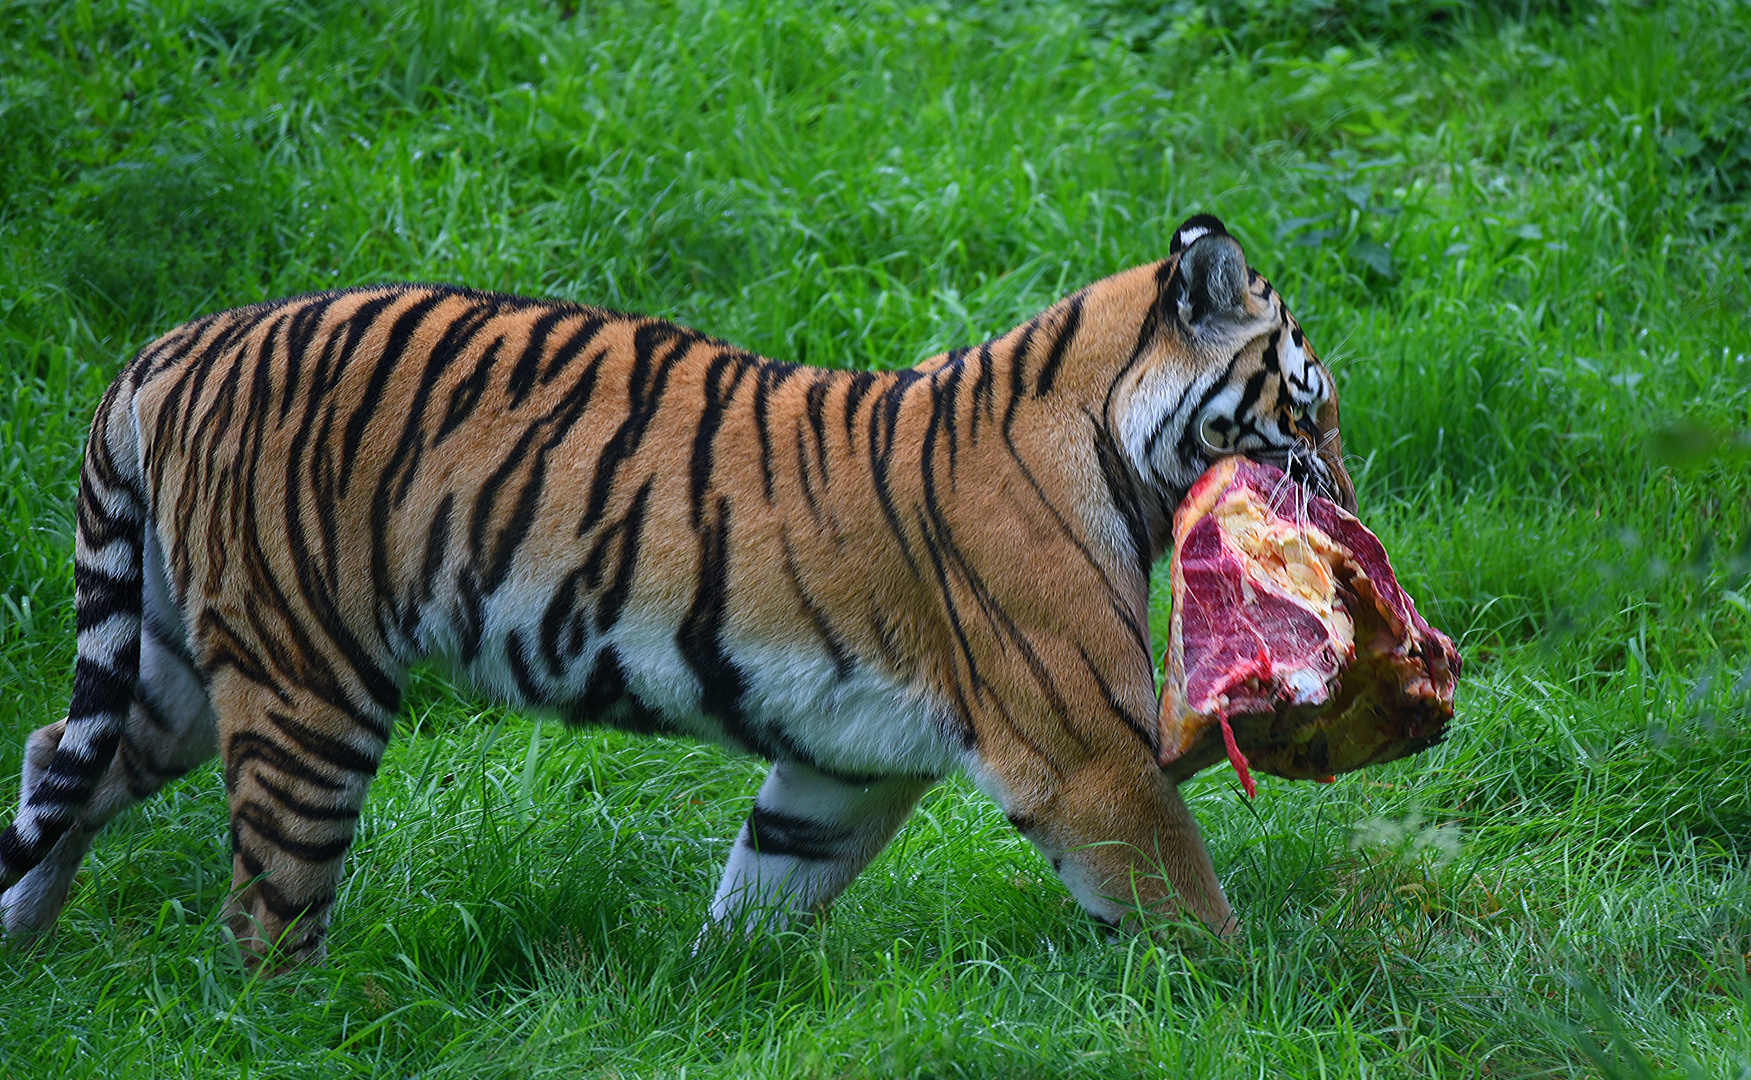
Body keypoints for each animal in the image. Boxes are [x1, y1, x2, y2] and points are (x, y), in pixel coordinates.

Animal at [0, 214, 1351, 966]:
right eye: (1308, 404)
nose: (1345, 498)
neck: (1111, 436)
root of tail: (173, 347)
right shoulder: (1088, 754)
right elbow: (1192, 914)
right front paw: (1246, 1009)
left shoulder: (846, 763)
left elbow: (764, 886)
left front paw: (708, 997)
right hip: (305, 685)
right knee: (262, 915)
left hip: (185, 659)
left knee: (55, 753)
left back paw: (23, 939)